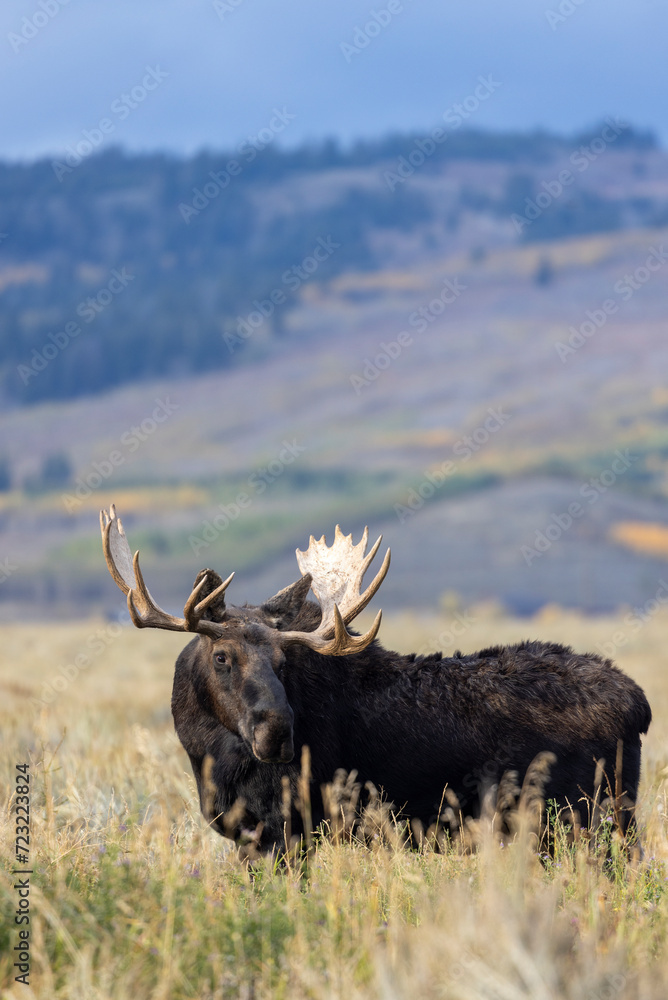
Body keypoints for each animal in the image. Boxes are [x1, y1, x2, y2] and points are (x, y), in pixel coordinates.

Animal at [100, 504, 651, 853]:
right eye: (221, 656)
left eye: (283, 661)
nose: (277, 732)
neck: (209, 755)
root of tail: (639, 704)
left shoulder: (289, 828)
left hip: (590, 818)